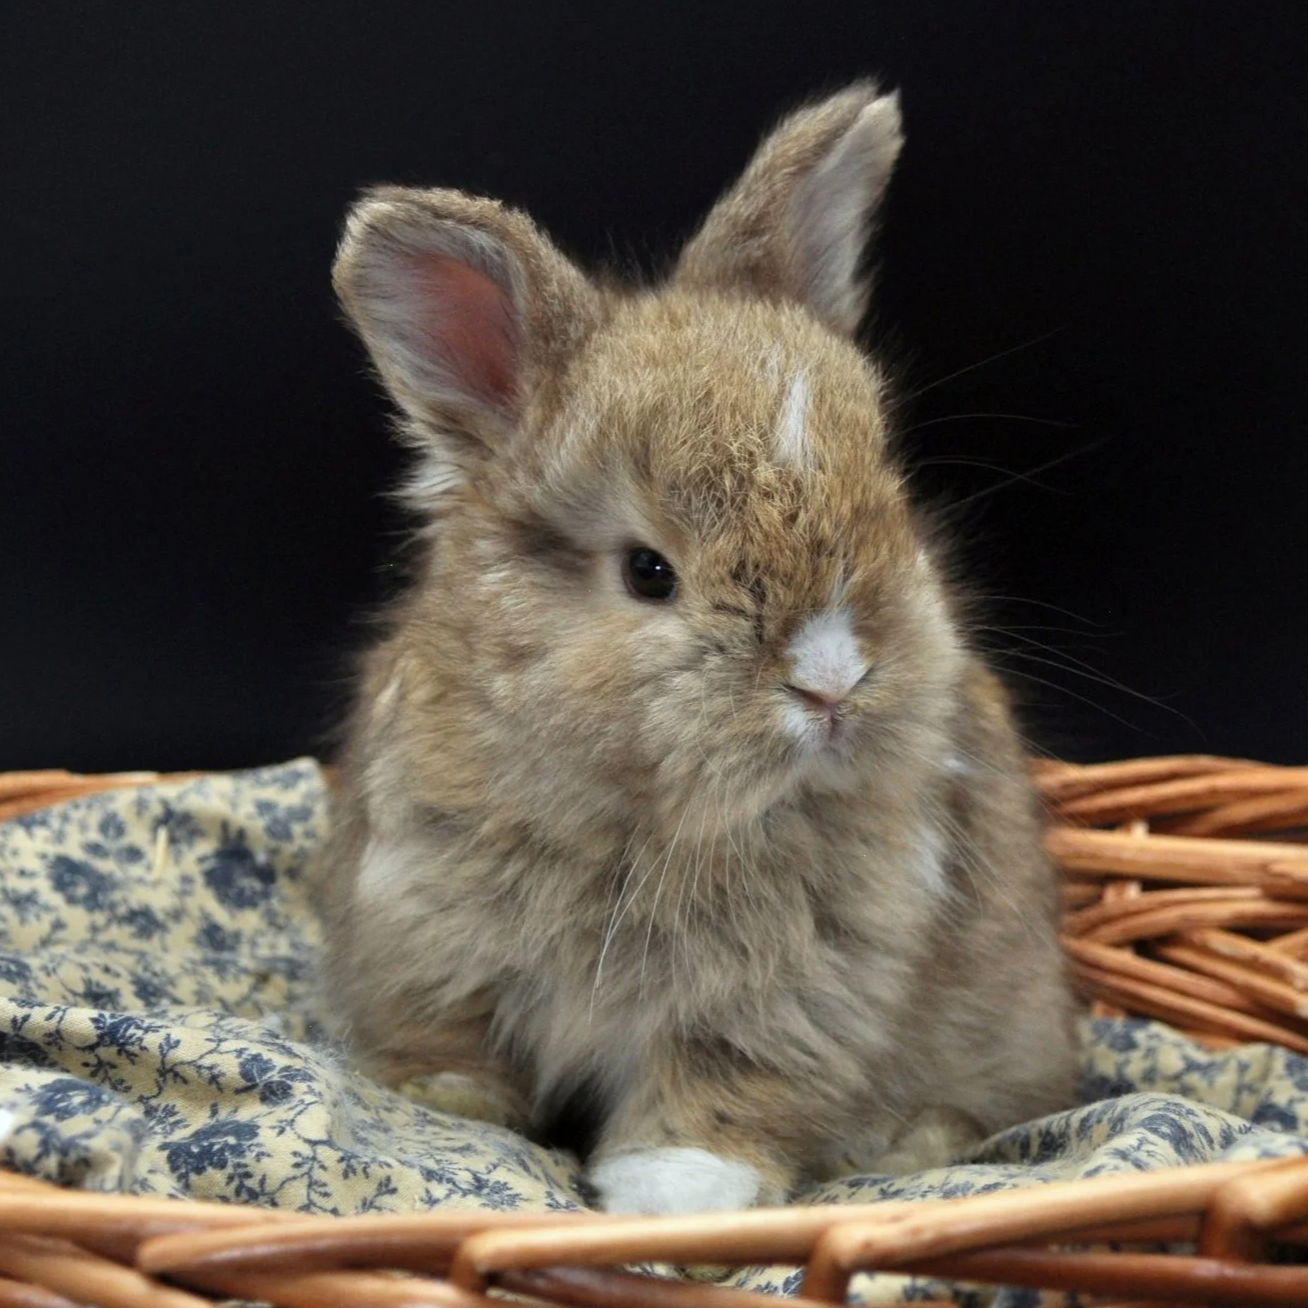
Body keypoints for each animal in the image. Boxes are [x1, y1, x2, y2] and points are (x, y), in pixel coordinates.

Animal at [316, 80, 1078, 1216]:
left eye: (887, 499)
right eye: (648, 573)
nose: (831, 682)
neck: (648, 818)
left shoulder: (800, 986)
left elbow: (725, 1084)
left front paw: (672, 1196)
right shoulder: (420, 921)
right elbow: (452, 1043)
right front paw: (441, 1112)